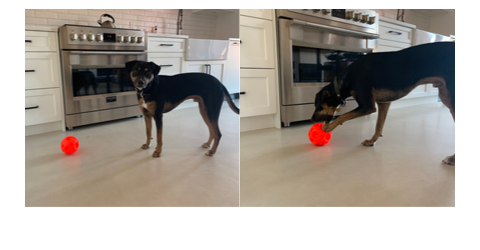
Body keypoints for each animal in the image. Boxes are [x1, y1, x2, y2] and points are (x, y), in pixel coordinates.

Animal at [312, 42, 454, 165]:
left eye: (318, 106)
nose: (312, 119)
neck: (346, 78)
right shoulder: (383, 103)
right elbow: (378, 125)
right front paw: (372, 141)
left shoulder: (367, 106)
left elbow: (342, 116)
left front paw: (328, 127)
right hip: (445, 96)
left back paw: (452, 159)